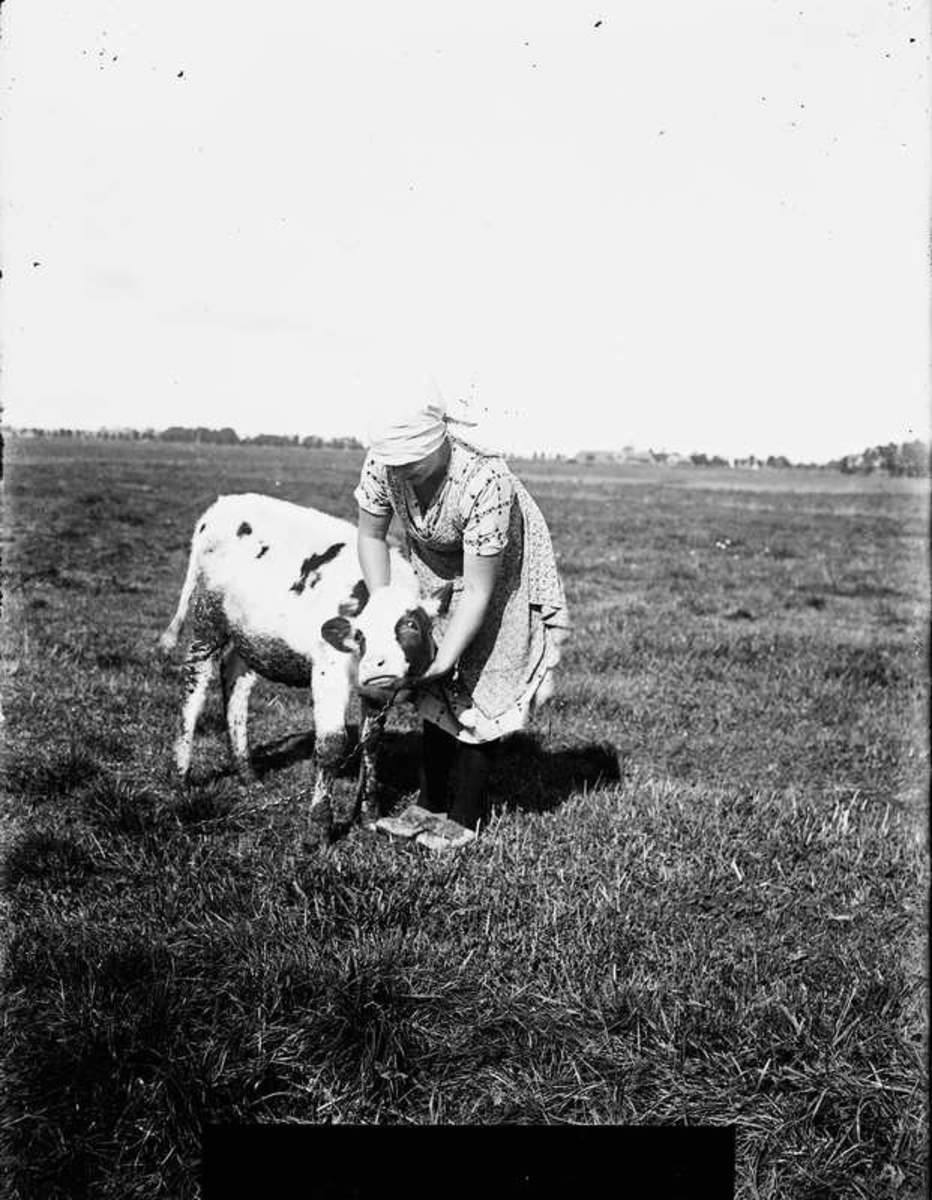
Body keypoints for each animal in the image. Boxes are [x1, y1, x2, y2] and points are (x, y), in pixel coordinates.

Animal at [158, 493, 451, 842]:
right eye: (361, 633)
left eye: (412, 626)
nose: (378, 664)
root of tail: (222, 505)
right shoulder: (328, 670)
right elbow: (331, 745)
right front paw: (320, 825)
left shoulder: (378, 694)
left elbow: (372, 744)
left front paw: (368, 816)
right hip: (208, 619)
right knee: (195, 685)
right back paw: (180, 774)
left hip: (248, 635)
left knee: (235, 685)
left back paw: (246, 772)